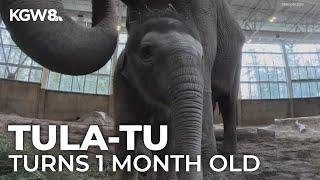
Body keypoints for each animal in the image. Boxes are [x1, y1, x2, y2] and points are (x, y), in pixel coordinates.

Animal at [0, 0, 245, 180]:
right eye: (146, 53)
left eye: (200, 56)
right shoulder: (122, 86)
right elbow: (128, 139)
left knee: (228, 102)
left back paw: (226, 155)